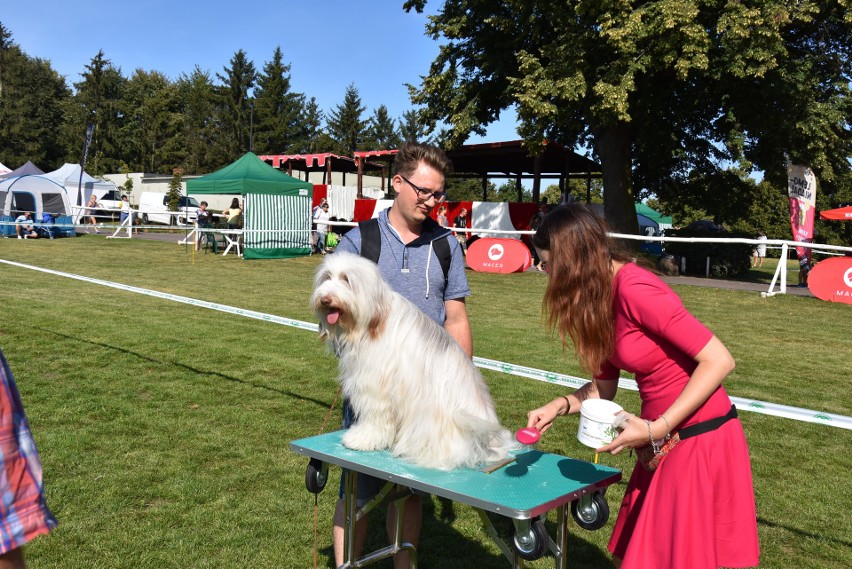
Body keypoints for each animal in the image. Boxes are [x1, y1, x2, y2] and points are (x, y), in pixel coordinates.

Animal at [312, 253, 516, 470]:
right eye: (326, 277)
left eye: (346, 279)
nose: (325, 299)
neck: (375, 319)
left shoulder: (376, 386)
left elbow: (374, 418)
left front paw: (362, 439)